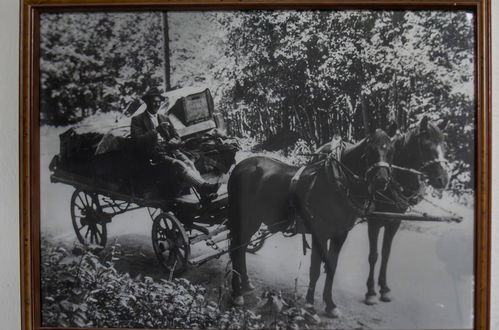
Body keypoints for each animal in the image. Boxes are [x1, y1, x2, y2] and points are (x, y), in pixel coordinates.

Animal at [227, 127, 394, 316]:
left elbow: (331, 267)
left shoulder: (340, 234)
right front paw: (309, 304)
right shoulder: (319, 232)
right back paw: (237, 294)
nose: (382, 180)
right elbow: (314, 269)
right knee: (236, 249)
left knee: (240, 249)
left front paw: (330, 304)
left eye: (390, 151)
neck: (337, 182)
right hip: (245, 218)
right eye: (370, 150)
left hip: (253, 220)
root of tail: (239, 166)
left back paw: (246, 284)